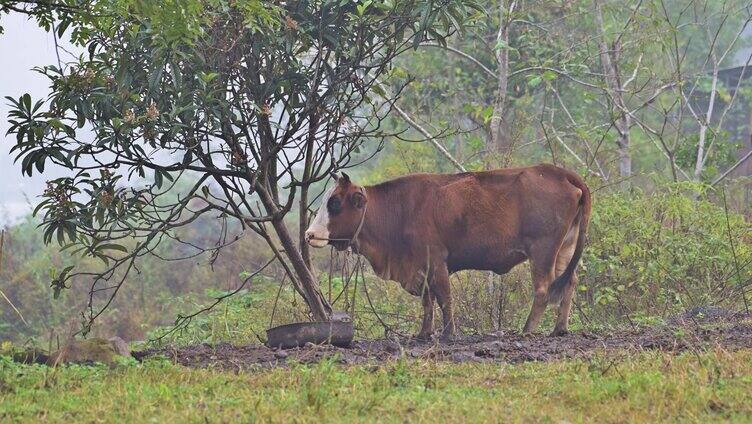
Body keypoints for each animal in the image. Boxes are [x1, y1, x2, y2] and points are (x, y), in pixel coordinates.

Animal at [302, 164, 592, 340]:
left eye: (335, 203)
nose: (309, 234)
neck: (400, 210)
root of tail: (557, 172)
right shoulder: (420, 267)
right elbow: (428, 301)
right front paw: (424, 333)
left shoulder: (435, 261)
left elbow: (444, 298)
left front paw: (448, 333)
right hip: (564, 249)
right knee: (570, 282)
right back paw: (560, 329)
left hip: (543, 250)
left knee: (543, 289)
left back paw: (527, 330)